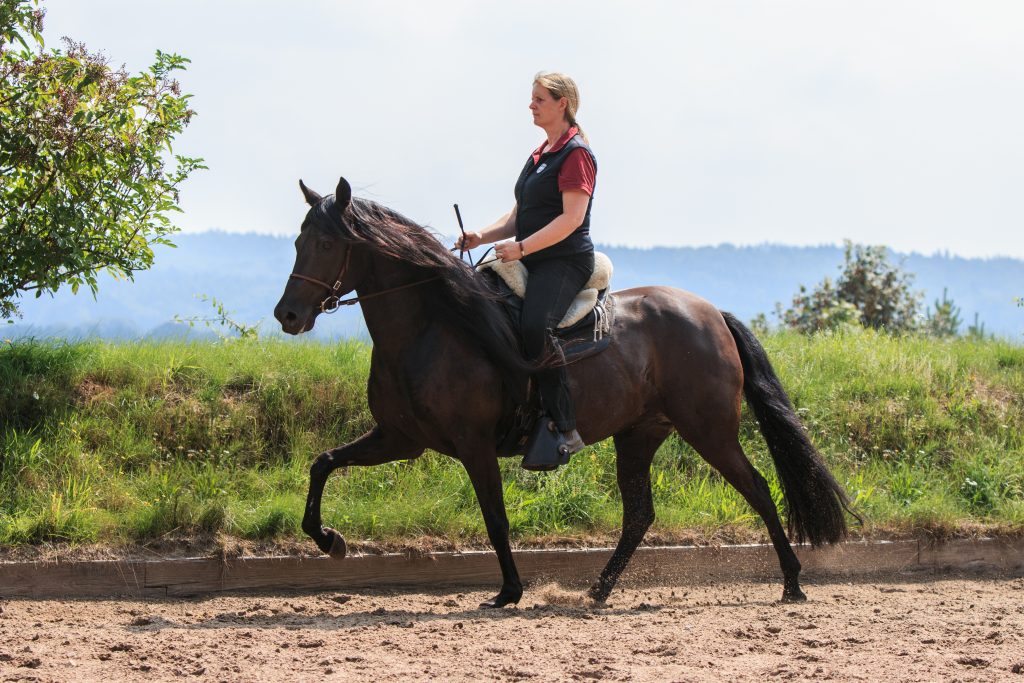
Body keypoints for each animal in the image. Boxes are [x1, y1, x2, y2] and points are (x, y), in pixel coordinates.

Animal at [270, 176, 847, 610]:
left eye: (327, 244)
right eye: (298, 242)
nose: (288, 316)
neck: (429, 329)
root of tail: (712, 314)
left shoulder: (473, 446)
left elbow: (496, 518)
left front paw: (508, 591)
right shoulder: (399, 438)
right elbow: (323, 463)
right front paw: (329, 540)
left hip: (709, 430)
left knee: (758, 489)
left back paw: (792, 582)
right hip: (639, 435)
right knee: (640, 516)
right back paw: (598, 590)